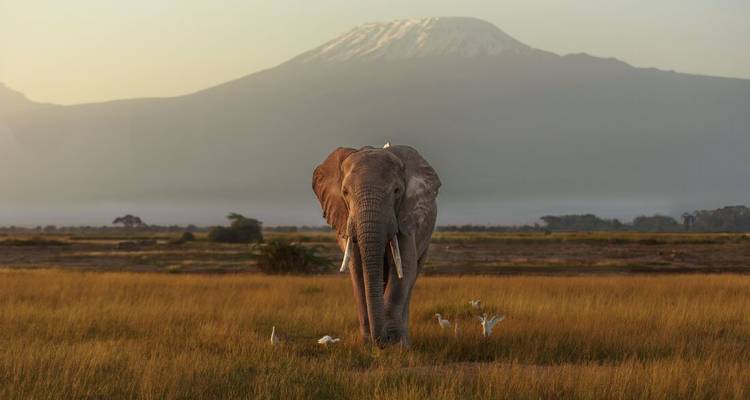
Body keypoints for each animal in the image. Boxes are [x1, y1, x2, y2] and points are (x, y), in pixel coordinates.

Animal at [312, 144, 440, 346]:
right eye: (345, 192)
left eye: (396, 191)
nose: (382, 340)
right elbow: (357, 270)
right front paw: (368, 344)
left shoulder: (405, 216)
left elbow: (405, 268)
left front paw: (396, 345)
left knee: (413, 276)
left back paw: (405, 341)